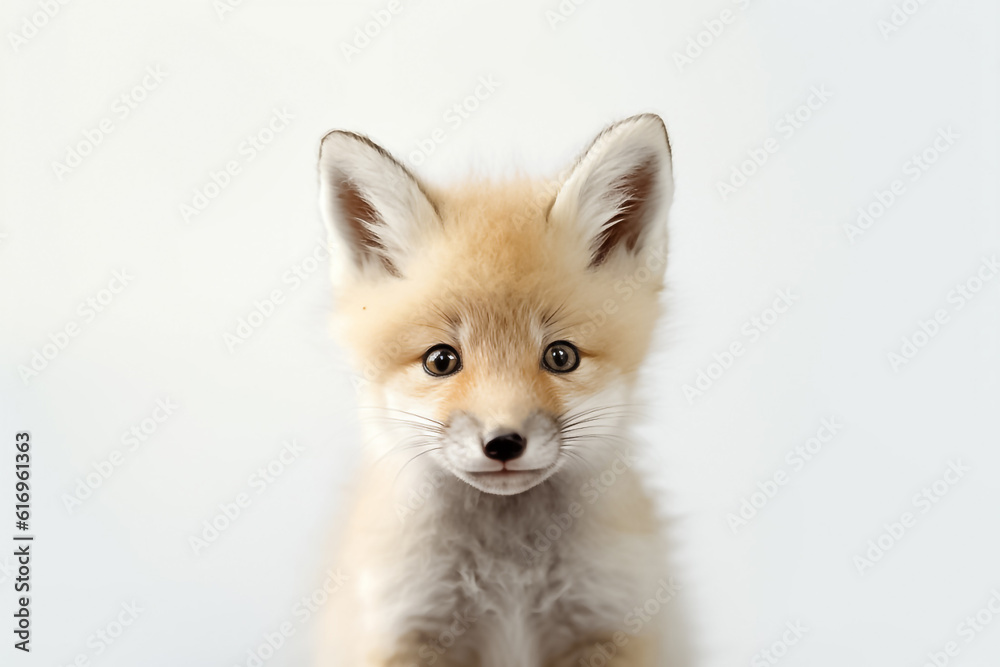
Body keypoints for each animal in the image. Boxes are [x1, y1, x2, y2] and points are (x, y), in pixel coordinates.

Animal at [316, 114, 676, 667]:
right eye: (441, 360)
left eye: (561, 357)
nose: (504, 443)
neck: (510, 575)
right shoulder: (407, 628)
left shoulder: (608, 620)